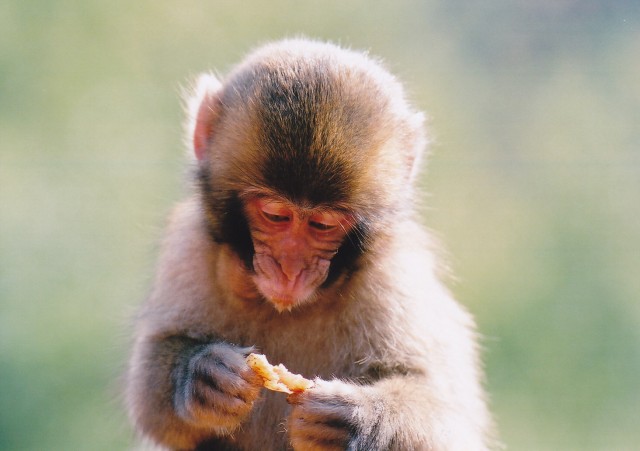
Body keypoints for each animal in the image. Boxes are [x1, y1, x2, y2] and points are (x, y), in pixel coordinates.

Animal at [125, 38, 496, 451]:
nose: (290, 268)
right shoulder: (190, 244)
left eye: (323, 224)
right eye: (275, 215)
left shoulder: (396, 277)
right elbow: (151, 381)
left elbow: (444, 411)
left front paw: (354, 420)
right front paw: (204, 378)